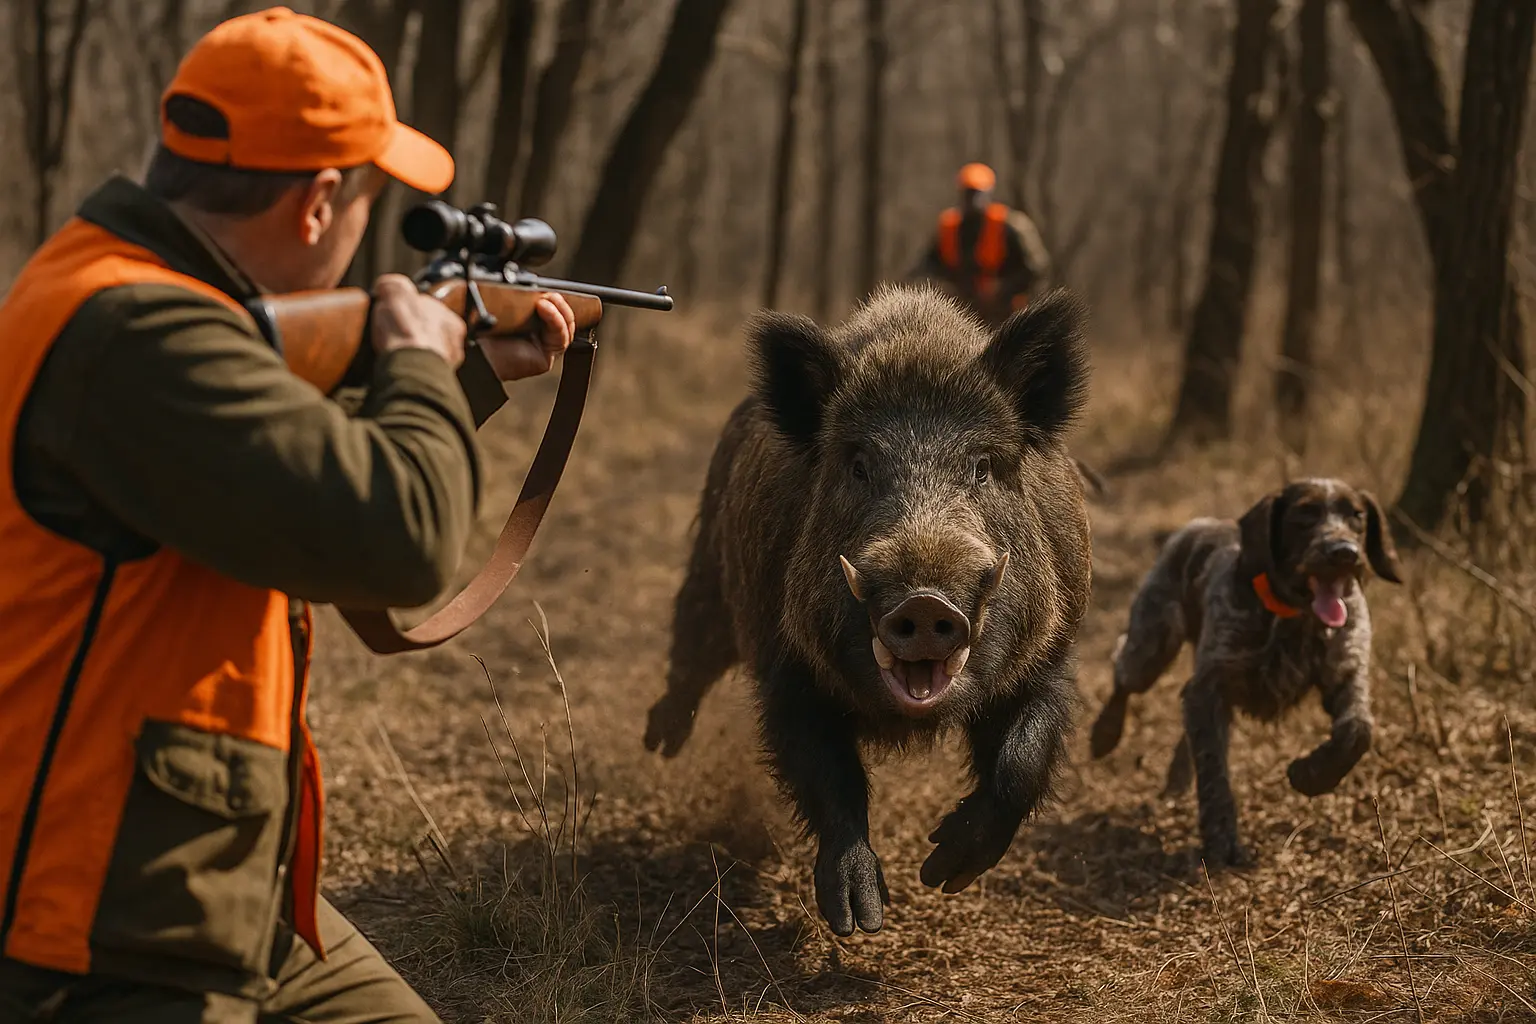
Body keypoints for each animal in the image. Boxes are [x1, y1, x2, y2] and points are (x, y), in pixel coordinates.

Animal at [643, 283, 1094, 936]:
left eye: (983, 467)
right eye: (858, 466)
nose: (926, 601)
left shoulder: (1053, 650)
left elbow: (1022, 761)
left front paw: (942, 871)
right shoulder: (787, 667)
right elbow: (830, 776)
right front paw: (860, 920)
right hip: (712, 571)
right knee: (692, 647)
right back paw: (661, 743)